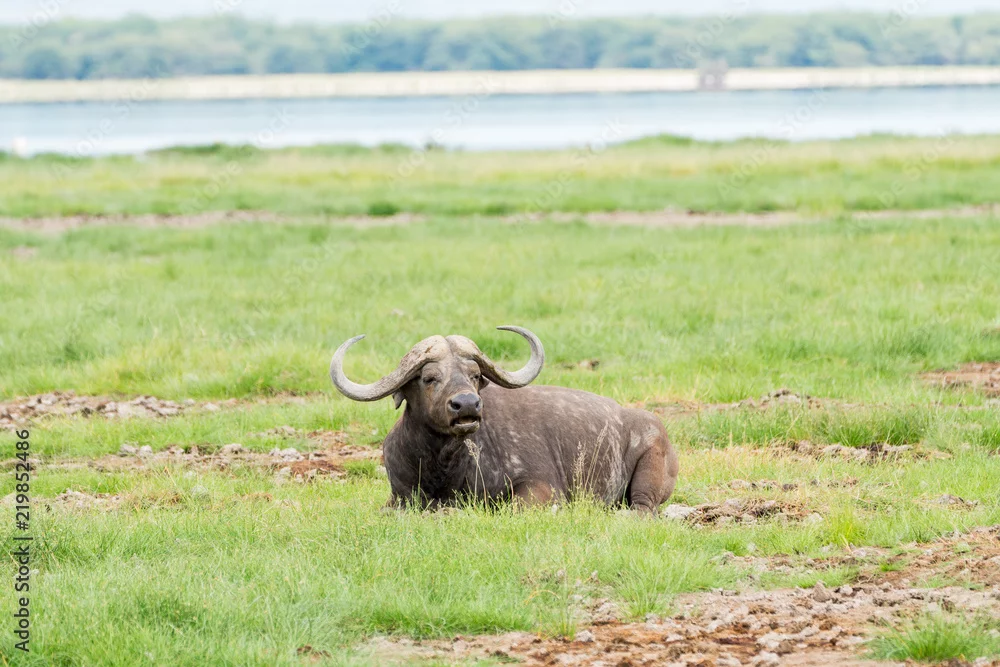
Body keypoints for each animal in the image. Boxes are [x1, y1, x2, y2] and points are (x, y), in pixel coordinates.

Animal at [329, 326, 678, 513]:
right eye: (429, 377)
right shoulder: (399, 494)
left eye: (474, 375)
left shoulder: (542, 488)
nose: (467, 405)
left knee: (644, 508)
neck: (443, 466)